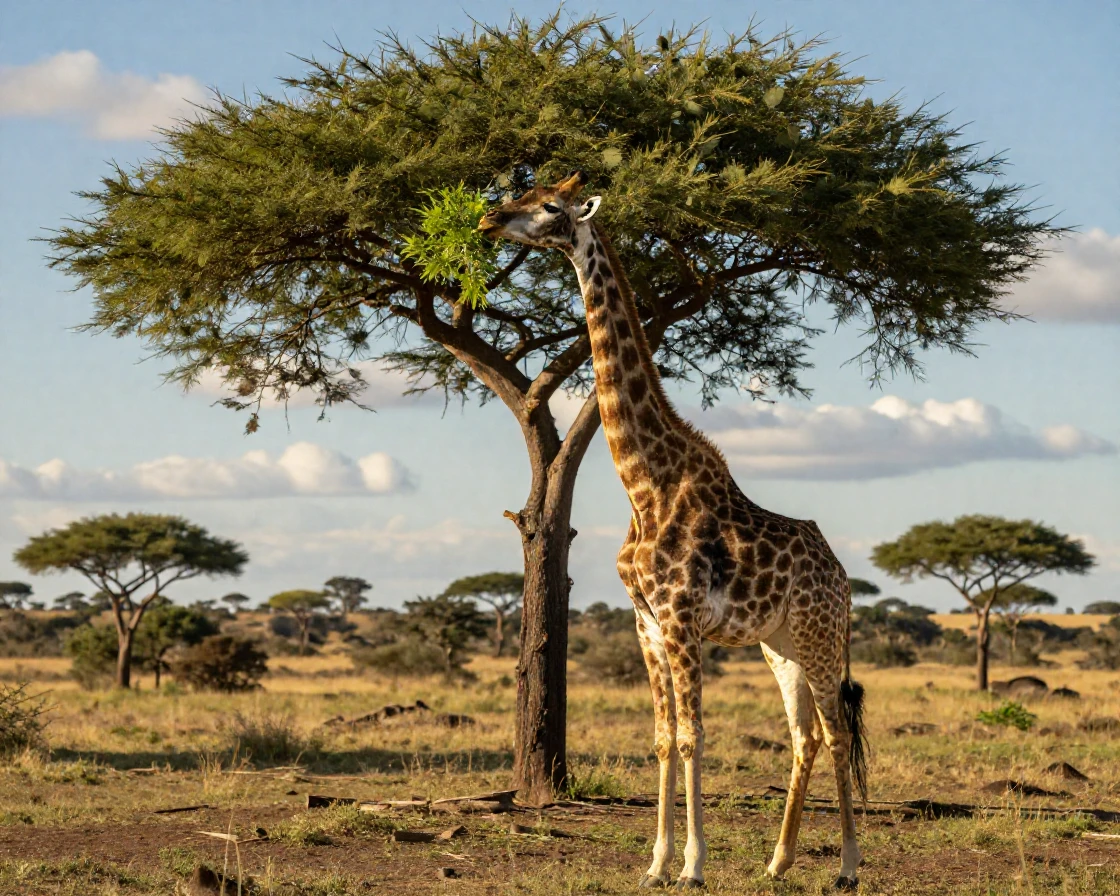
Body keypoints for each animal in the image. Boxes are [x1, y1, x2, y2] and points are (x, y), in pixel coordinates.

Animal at [479, 171, 868, 890]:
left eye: (549, 206)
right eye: (525, 189)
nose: (492, 218)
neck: (644, 485)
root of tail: (844, 578)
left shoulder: (682, 618)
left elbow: (692, 736)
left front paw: (692, 866)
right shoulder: (647, 623)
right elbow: (661, 738)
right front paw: (655, 865)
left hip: (820, 637)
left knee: (835, 731)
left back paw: (849, 867)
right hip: (780, 645)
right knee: (805, 736)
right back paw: (777, 862)